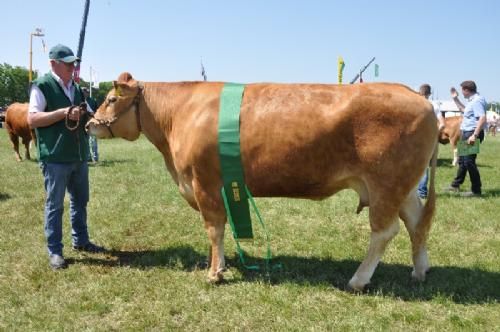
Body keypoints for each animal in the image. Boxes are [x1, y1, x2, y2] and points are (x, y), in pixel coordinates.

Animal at [86, 73, 438, 290]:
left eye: (111, 99)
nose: (89, 124)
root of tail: (417, 97)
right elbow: (220, 229)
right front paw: (218, 265)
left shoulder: (204, 183)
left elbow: (214, 228)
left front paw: (214, 273)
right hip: (403, 187)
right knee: (417, 222)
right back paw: (419, 271)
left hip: (386, 184)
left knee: (385, 231)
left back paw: (358, 280)